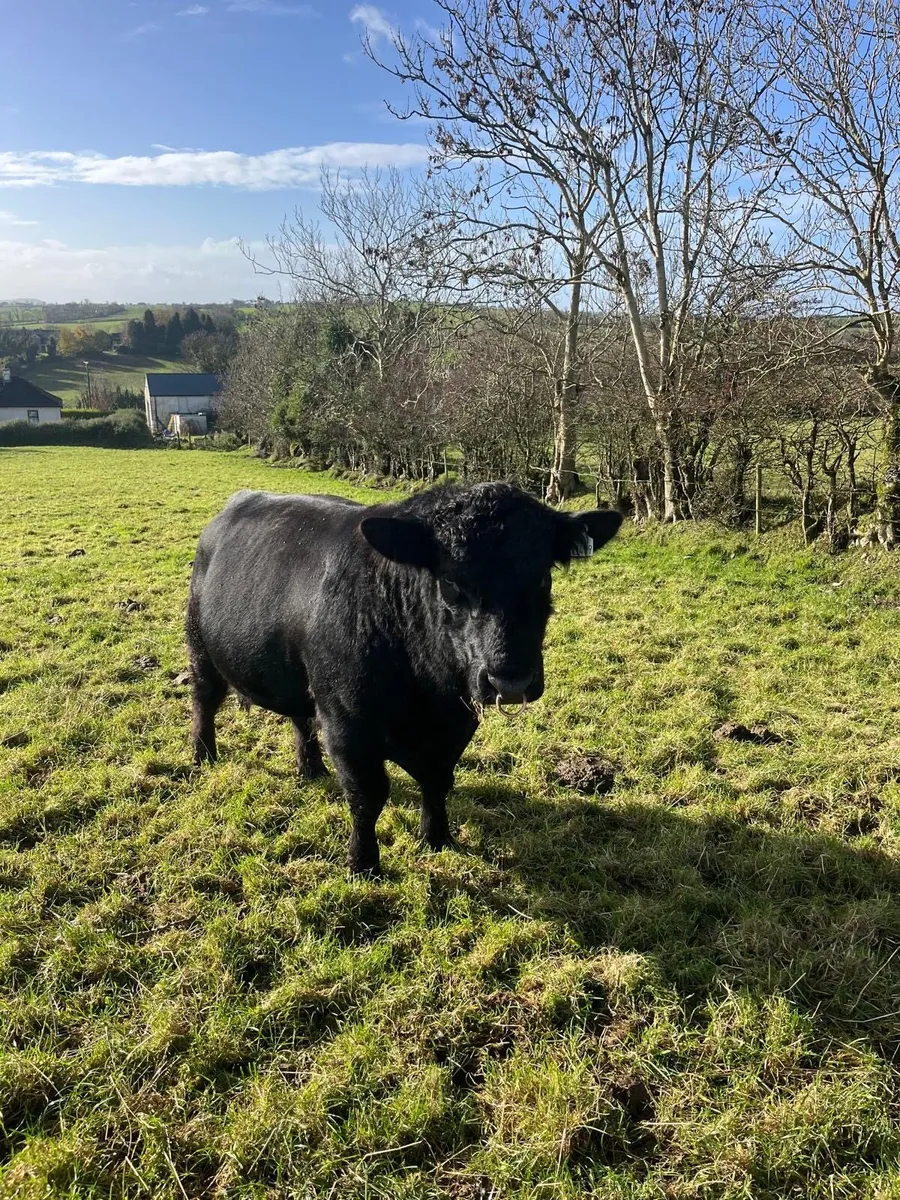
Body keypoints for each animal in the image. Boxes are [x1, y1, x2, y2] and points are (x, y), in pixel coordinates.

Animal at [187, 482, 622, 874]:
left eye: (543, 577)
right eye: (451, 582)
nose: (510, 682)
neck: (426, 692)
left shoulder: (456, 721)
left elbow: (438, 779)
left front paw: (438, 839)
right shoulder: (347, 724)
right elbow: (368, 795)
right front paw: (363, 863)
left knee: (300, 717)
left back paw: (310, 768)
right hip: (200, 646)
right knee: (205, 700)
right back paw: (203, 754)